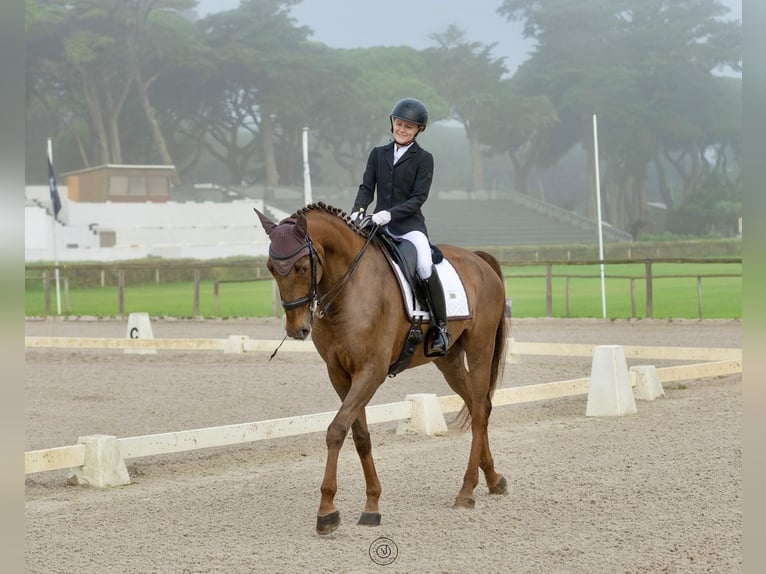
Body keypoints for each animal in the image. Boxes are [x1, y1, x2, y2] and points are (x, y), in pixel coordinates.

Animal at [256, 202, 510, 536]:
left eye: (300, 267)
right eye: (272, 268)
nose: (297, 329)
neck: (349, 289)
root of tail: (478, 259)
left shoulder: (371, 372)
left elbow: (336, 430)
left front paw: (327, 510)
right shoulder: (340, 374)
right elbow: (359, 435)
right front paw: (371, 505)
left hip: (480, 346)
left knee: (480, 410)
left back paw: (467, 491)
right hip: (448, 359)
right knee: (476, 404)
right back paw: (493, 478)